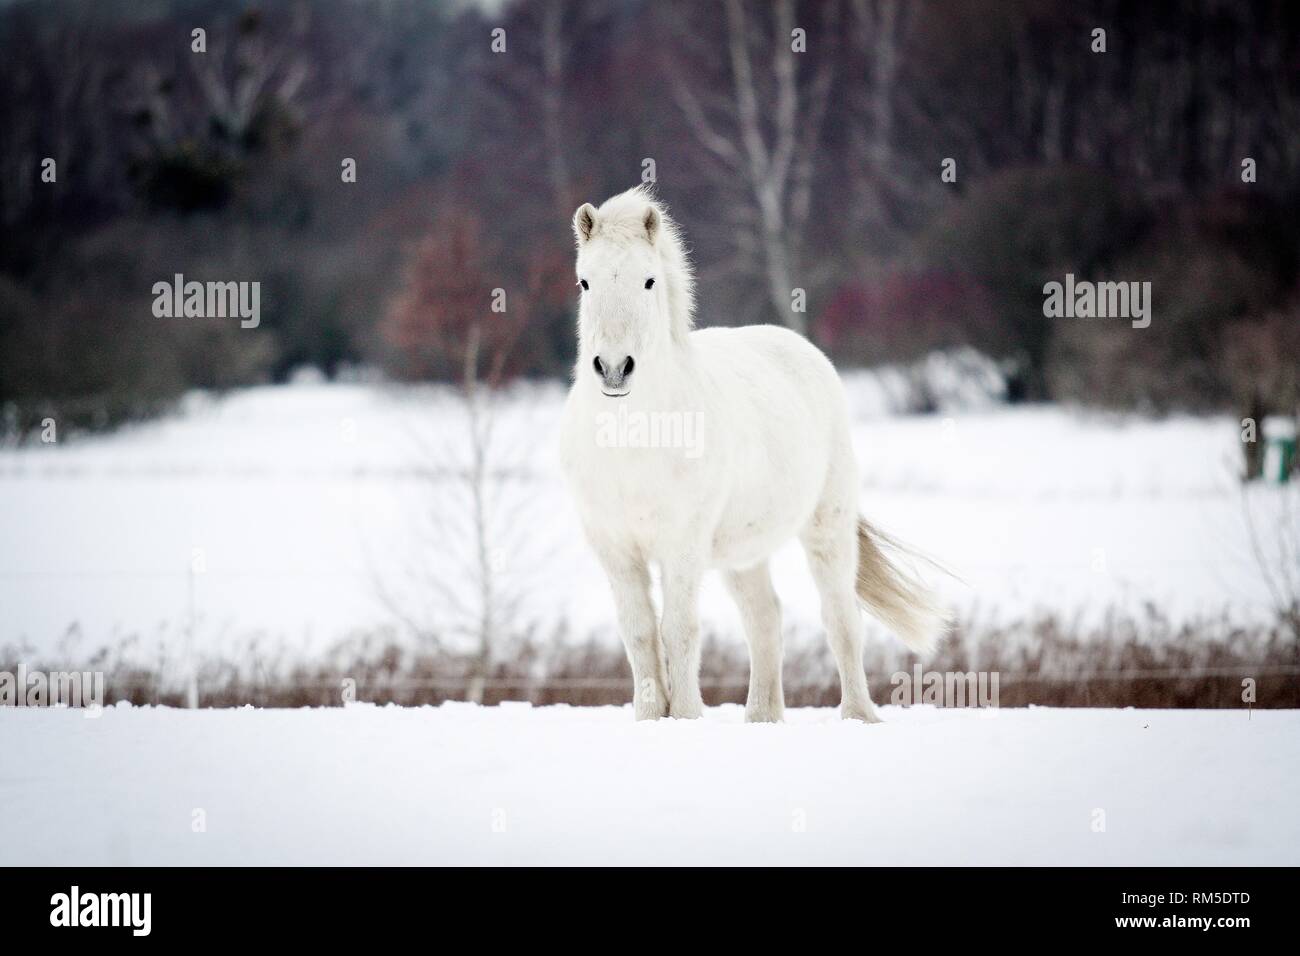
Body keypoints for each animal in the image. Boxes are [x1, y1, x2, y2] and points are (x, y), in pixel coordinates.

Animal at [559, 185, 947, 722]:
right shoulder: (615, 548)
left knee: (841, 618)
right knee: (765, 620)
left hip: (827, 528)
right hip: (743, 554)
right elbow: (639, 635)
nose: (614, 369)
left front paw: (686, 717)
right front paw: (649, 717)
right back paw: (762, 717)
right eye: (584, 282)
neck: (634, 440)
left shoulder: (683, 545)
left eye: (648, 281)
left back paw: (858, 715)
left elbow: (678, 631)